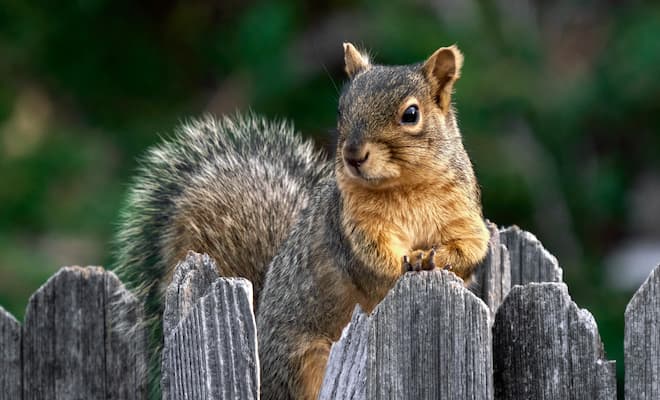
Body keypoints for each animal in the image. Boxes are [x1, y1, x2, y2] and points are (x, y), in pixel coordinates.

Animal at [113, 42, 489, 399]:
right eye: (341, 110)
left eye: (411, 114)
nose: (353, 155)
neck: (405, 188)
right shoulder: (351, 229)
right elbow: (374, 263)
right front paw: (409, 260)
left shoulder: (464, 215)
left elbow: (471, 251)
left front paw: (433, 257)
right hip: (304, 361)